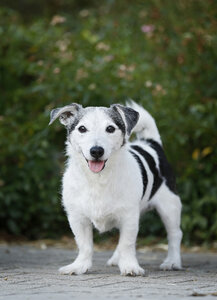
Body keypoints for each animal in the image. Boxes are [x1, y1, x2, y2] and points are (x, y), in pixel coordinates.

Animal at [48, 101, 181, 276]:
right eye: (82, 128)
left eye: (110, 128)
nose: (96, 151)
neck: (98, 179)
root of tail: (151, 143)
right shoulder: (78, 218)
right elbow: (84, 245)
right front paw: (80, 266)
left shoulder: (129, 216)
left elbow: (127, 243)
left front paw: (130, 266)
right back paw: (117, 259)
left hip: (169, 207)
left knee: (174, 234)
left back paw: (172, 261)